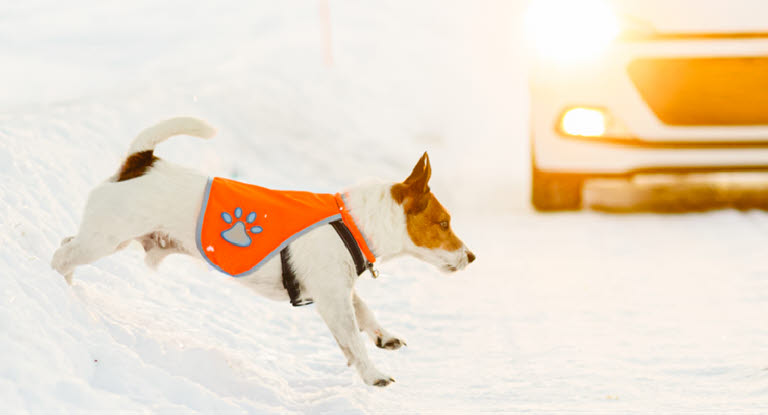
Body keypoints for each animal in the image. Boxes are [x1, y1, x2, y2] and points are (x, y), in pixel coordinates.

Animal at [51, 116, 474, 386]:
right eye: (444, 223)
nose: (472, 257)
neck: (353, 220)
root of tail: (141, 162)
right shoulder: (331, 298)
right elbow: (353, 337)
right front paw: (373, 374)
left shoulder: (338, 291)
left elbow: (365, 314)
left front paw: (383, 337)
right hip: (104, 239)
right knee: (62, 254)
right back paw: (56, 283)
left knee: (65, 245)